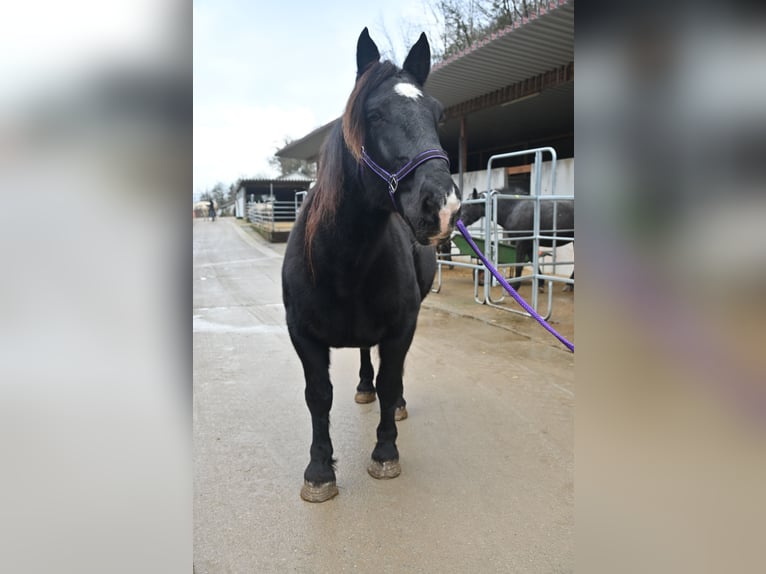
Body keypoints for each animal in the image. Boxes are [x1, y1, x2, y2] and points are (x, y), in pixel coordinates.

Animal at [284, 29, 460, 502]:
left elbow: (391, 381)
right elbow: (318, 395)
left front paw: (385, 453)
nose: (442, 207)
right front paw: (319, 471)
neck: (341, 261)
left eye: (437, 114)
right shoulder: (302, 335)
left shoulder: (402, 327)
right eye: (374, 114)